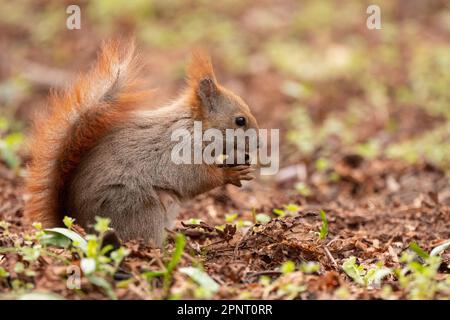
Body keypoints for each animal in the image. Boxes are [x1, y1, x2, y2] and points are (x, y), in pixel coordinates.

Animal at [23, 39, 256, 245]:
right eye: (240, 120)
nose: (259, 144)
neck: (195, 127)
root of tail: (76, 224)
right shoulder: (181, 153)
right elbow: (197, 180)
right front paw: (230, 174)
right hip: (138, 208)